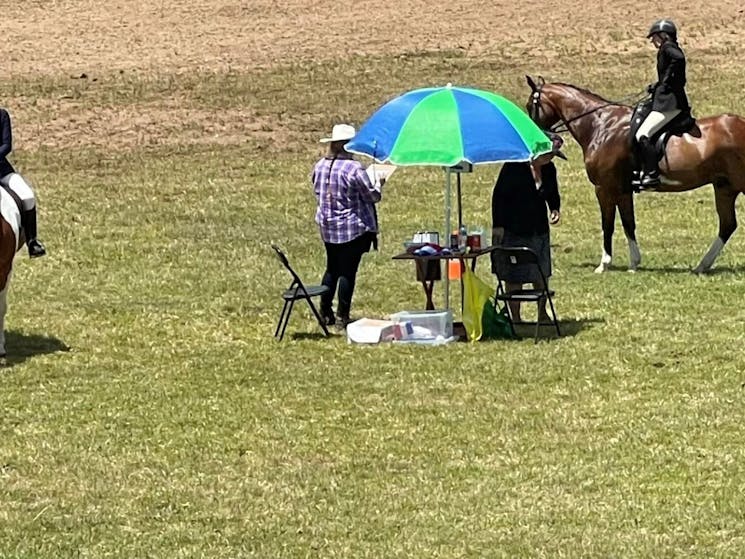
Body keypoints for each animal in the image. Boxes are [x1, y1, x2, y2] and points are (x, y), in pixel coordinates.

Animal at [524, 76, 745, 274]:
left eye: (529, 106)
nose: (534, 139)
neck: (601, 125)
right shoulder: (623, 190)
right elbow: (628, 224)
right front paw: (634, 264)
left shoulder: (603, 188)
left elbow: (608, 224)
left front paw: (604, 264)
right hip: (724, 187)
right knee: (727, 225)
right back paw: (701, 266)